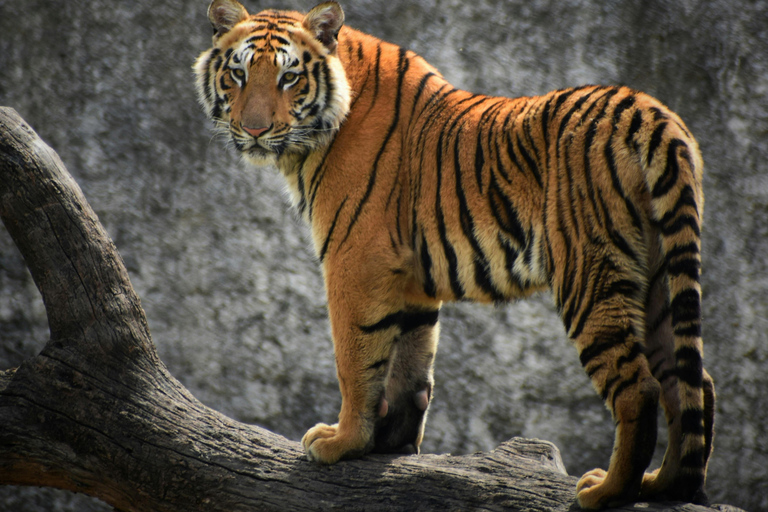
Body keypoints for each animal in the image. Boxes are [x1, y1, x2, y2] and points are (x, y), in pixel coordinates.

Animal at [194, 0, 715, 508]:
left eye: (289, 77)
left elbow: (356, 359)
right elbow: (410, 364)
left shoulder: (354, 260)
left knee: (639, 388)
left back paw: (606, 492)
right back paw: (663, 485)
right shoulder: (409, 278)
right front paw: (391, 444)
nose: (255, 130)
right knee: (691, 384)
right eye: (238, 74)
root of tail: (651, 112)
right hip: (659, 278)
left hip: (589, 274)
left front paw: (342, 442)